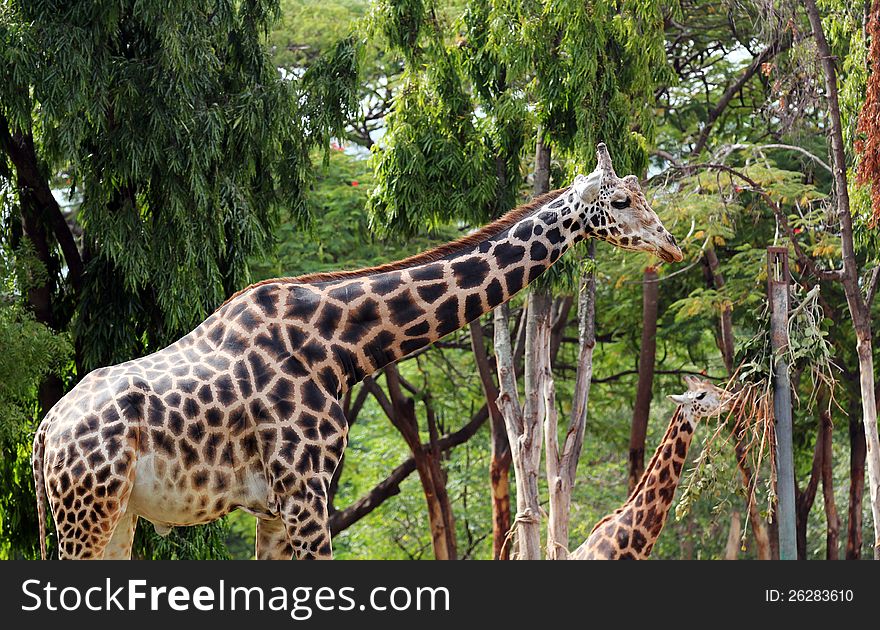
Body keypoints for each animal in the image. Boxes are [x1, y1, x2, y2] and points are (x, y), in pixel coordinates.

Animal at [32, 142, 680, 556]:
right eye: (622, 201)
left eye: (641, 193)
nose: (671, 244)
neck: (341, 348)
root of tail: (44, 434)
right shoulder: (305, 495)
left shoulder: (277, 509)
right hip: (87, 511)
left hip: (114, 515)